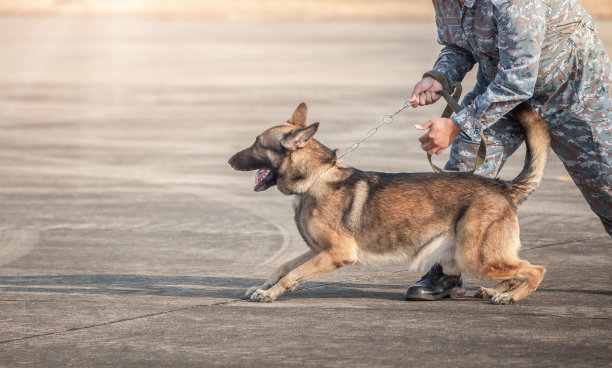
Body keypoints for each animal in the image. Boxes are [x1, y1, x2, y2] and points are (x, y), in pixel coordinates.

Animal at [228, 102, 548, 304]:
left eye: (257, 144)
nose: (229, 160)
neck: (317, 177)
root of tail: (501, 186)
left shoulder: (337, 253)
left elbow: (292, 273)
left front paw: (270, 294)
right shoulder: (318, 251)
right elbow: (283, 267)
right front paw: (264, 286)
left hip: (475, 258)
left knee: (535, 269)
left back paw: (509, 296)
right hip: (477, 256)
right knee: (518, 267)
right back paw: (494, 290)